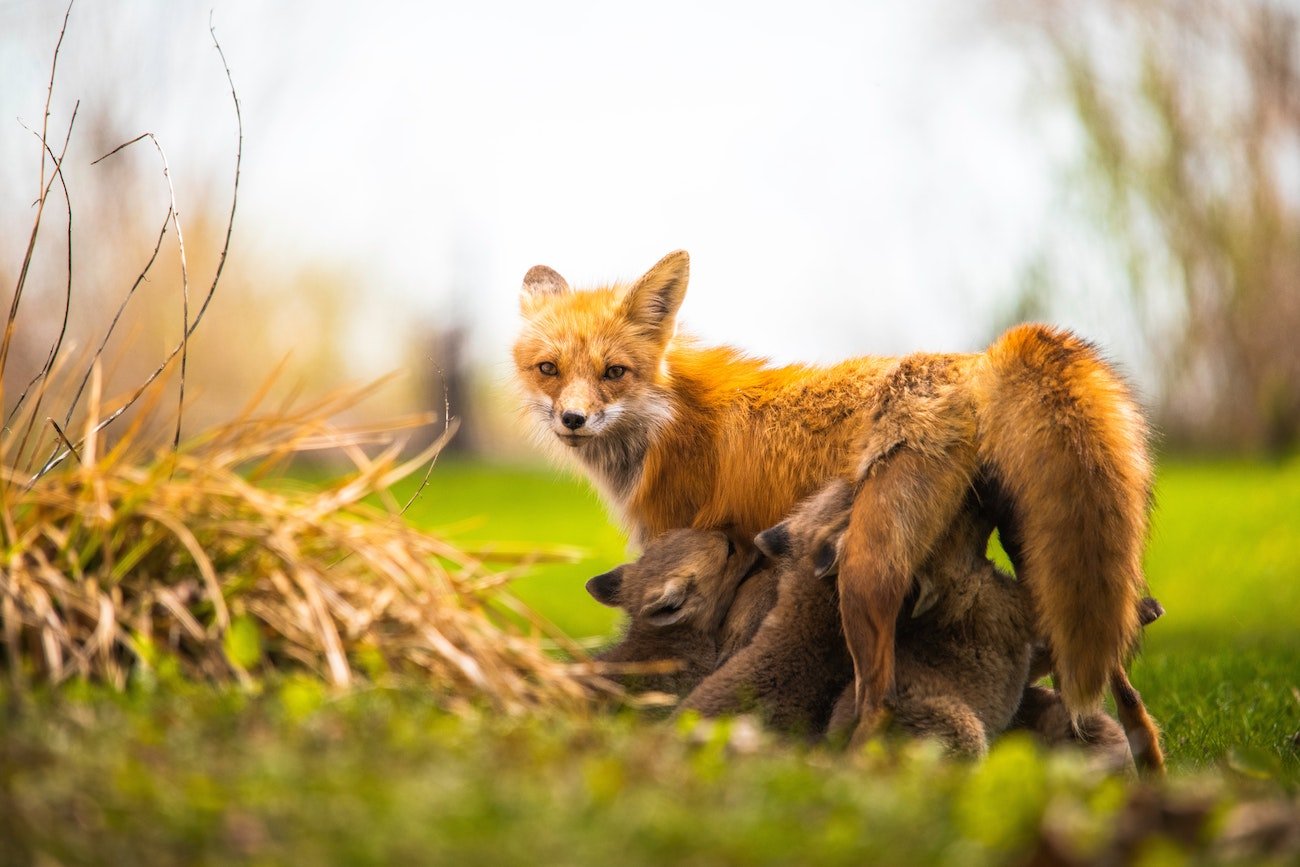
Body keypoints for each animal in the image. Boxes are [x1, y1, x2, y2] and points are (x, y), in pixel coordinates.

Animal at [512, 252, 1154, 748]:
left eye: (614, 372)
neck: (669, 423)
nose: (573, 420)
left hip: (868, 574)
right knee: (1129, 703)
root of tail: (973, 361)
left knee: (877, 698)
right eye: (549, 369)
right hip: (1053, 566)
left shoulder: (695, 554)